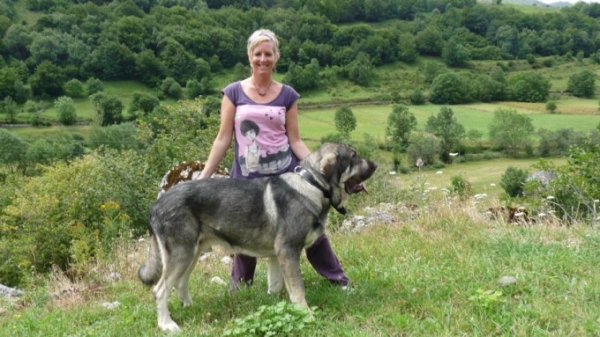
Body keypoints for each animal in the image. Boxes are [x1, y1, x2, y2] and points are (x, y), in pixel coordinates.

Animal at [138, 142, 378, 330]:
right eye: (353, 156)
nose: (375, 164)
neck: (312, 184)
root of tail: (155, 205)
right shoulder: (288, 251)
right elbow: (298, 289)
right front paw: (306, 314)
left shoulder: (277, 257)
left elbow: (277, 286)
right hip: (182, 254)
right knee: (160, 290)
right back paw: (167, 324)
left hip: (191, 253)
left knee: (179, 283)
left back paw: (190, 307)